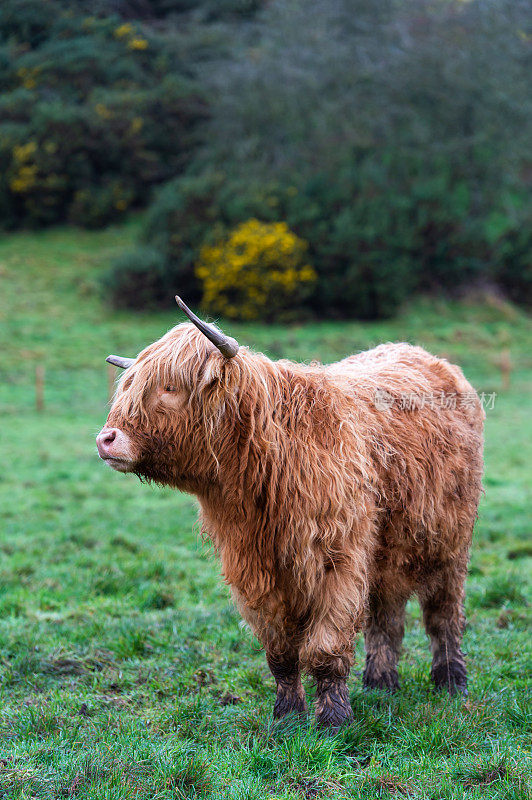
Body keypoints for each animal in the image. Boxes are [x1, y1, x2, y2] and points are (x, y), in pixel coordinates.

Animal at [97, 296, 484, 728]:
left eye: (169, 387)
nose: (106, 439)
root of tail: (421, 354)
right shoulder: (252, 570)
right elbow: (280, 650)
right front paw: (287, 716)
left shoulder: (339, 560)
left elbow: (326, 647)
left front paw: (334, 718)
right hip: (390, 549)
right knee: (387, 616)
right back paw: (380, 684)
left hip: (450, 543)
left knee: (443, 615)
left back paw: (451, 682)